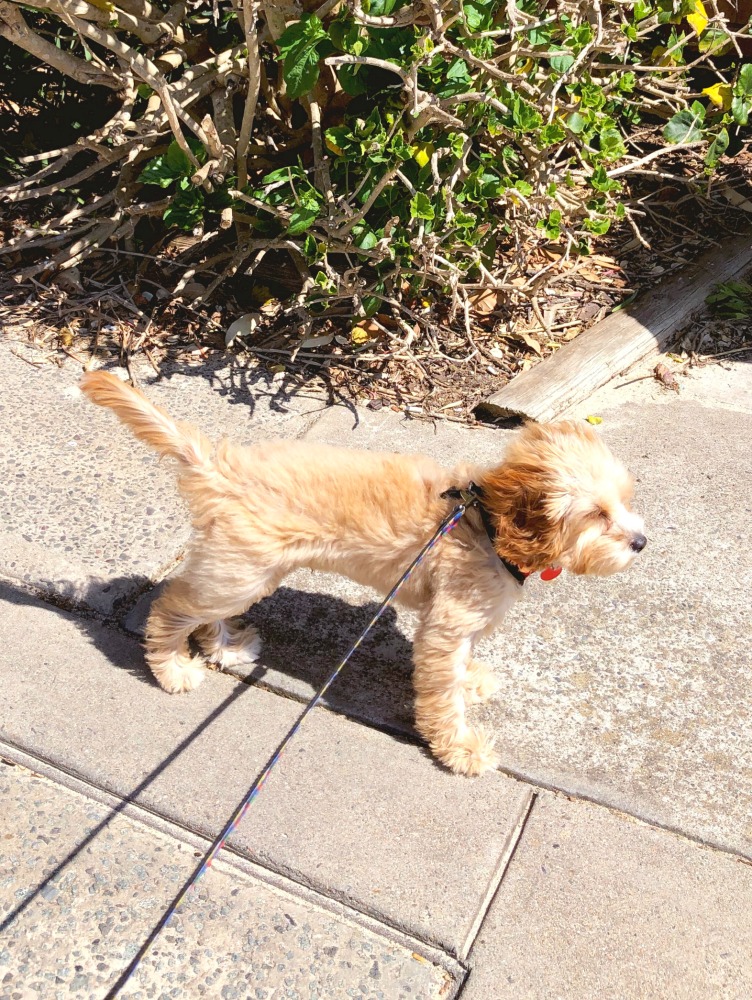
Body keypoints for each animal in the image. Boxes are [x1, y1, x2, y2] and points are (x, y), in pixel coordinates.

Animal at [81, 372, 648, 776]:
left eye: (625, 501)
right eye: (596, 515)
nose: (641, 542)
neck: (485, 523)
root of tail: (222, 468)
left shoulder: (460, 622)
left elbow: (460, 667)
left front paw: (471, 680)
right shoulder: (446, 625)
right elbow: (442, 694)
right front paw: (460, 749)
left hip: (238, 567)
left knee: (200, 608)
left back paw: (223, 647)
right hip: (242, 572)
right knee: (171, 608)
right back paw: (172, 669)